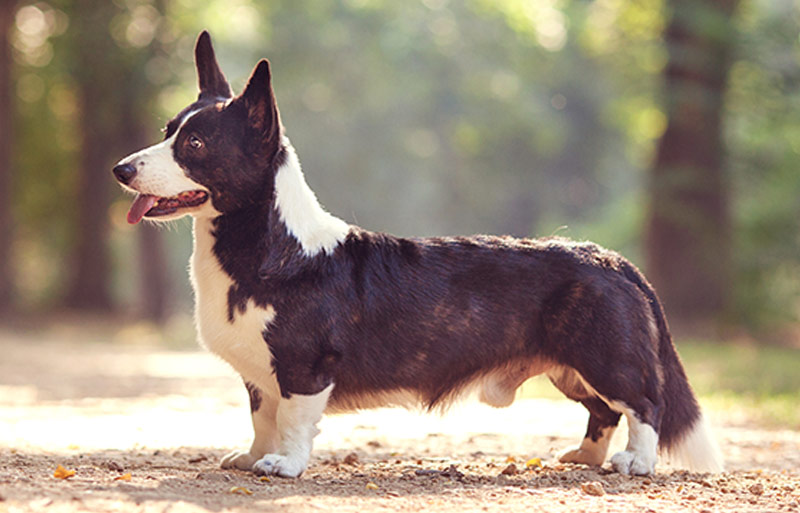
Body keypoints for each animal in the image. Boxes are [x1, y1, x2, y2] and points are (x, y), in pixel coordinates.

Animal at [114, 32, 724, 478]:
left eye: (195, 146)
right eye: (167, 131)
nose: (120, 169)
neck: (270, 247)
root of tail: (613, 261)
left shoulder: (303, 369)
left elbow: (291, 423)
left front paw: (282, 466)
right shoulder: (261, 376)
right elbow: (262, 417)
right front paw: (250, 458)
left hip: (604, 358)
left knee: (642, 406)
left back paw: (635, 463)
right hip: (571, 369)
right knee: (604, 411)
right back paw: (585, 457)